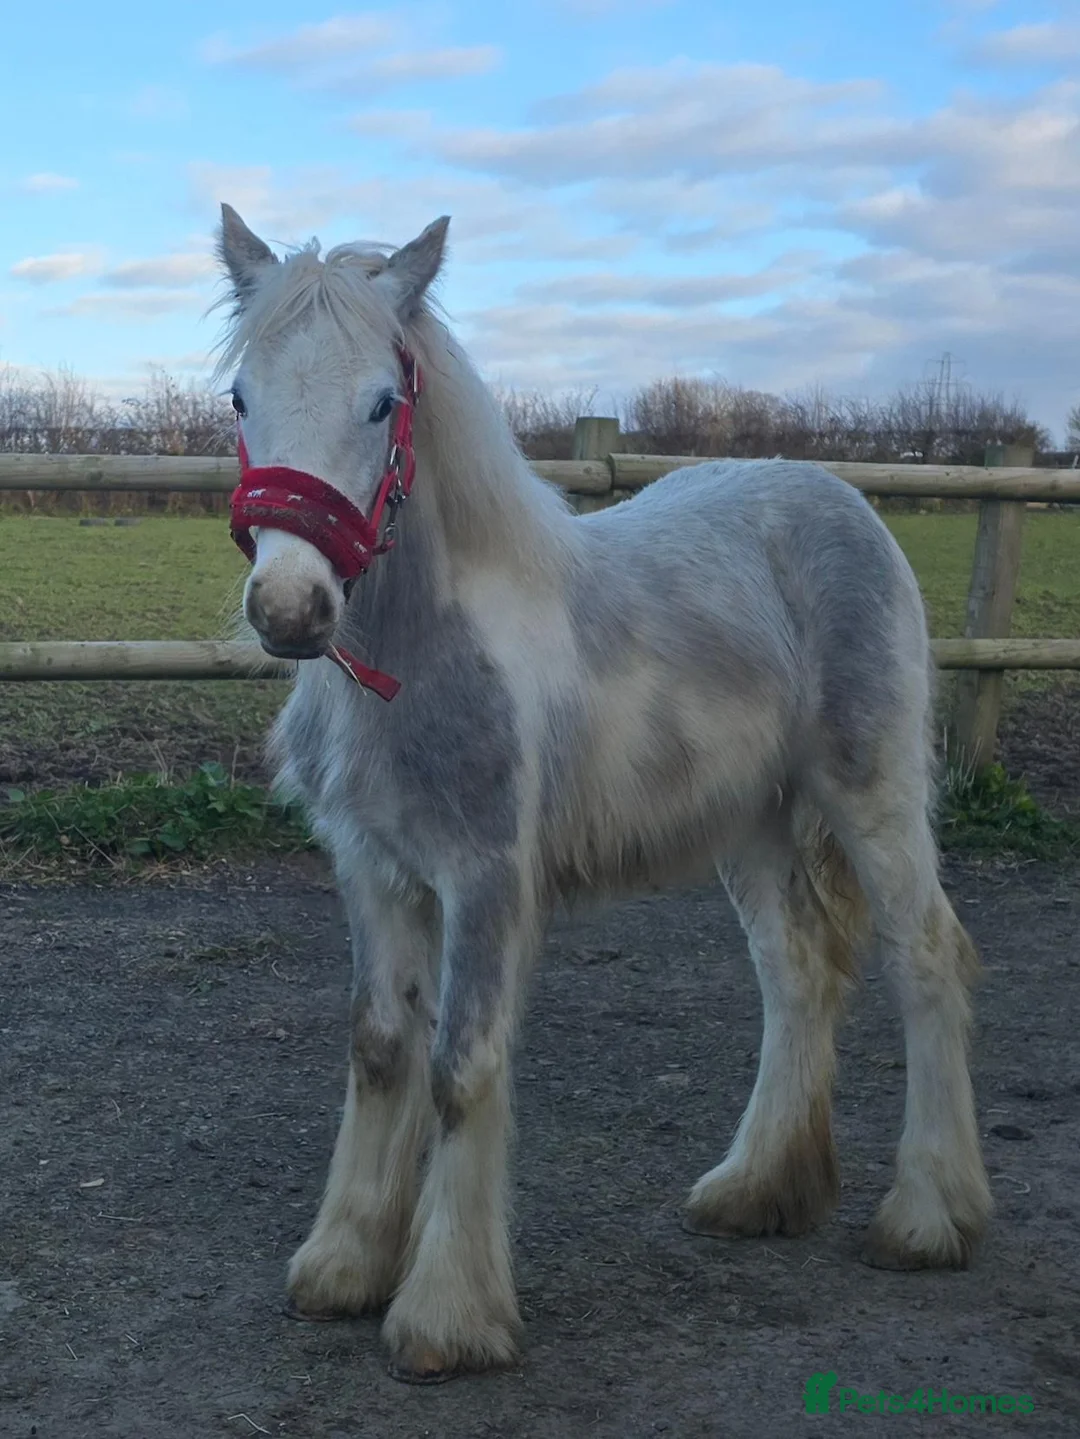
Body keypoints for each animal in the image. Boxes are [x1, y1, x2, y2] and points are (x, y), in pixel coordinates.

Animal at [213, 202, 991, 1384]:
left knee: (928, 955)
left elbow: (460, 1065)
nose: (291, 608)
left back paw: (929, 1217)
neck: (423, 650)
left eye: (382, 401)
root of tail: (839, 497)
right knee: (799, 972)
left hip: (875, 793)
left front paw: (446, 1314)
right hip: (755, 825)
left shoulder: (487, 876)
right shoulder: (377, 871)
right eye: (241, 397)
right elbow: (382, 1048)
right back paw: (758, 1189)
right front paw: (343, 1264)